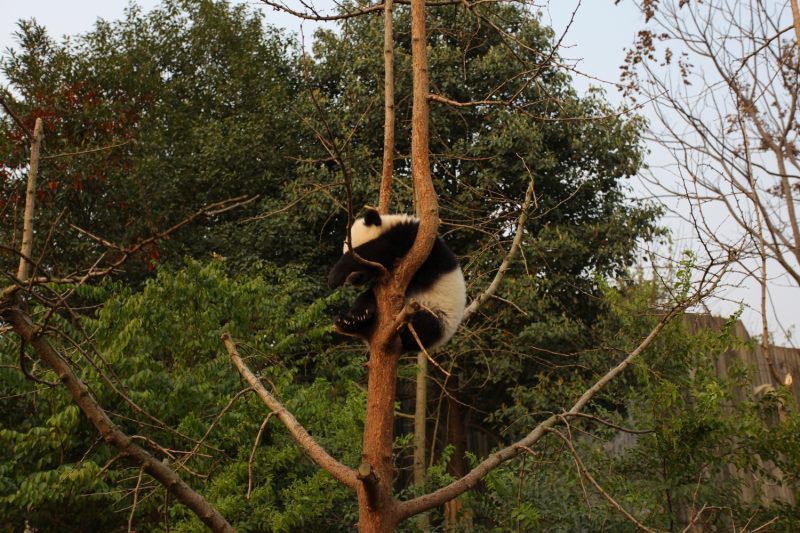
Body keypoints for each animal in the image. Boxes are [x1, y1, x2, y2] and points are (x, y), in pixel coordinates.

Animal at [327, 207, 466, 353]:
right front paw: (358, 313)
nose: (352, 280)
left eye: (359, 261)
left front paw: (335, 275)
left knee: (422, 326)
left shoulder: (413, 240)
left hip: (437, 315)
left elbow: (382, 248)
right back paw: (347, 321)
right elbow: (371, 293)